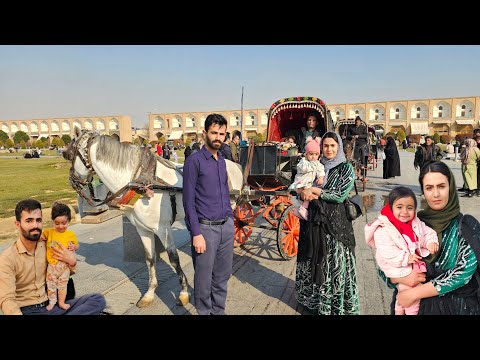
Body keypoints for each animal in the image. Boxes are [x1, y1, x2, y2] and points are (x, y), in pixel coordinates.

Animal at [63, 128, 244, 308]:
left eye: (69, 153)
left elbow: (174, 258)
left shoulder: (163, 228)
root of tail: (233, 164)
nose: (71, 180)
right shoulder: (142, 228)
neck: (141, 181)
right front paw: (149, 293)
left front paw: (184, 292)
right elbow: (150, 259)